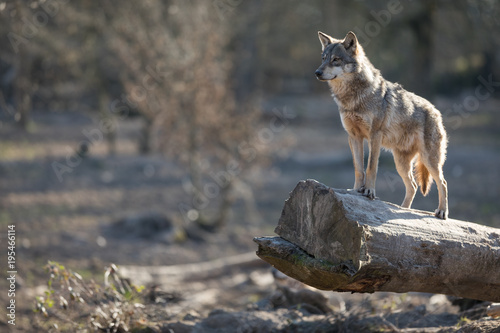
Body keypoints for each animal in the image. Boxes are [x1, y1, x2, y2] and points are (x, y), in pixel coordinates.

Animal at [314, 30, 448, 218]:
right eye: (323, 58)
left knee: (442, 183)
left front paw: (369, 191)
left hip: (429, 160)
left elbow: (371, 167)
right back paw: (402, 210)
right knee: (413, 186)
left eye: (336, 60)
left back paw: (442, 212)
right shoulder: (353, 136)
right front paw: (355, 191)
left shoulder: (374, 136)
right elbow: (358, 168)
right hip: (401, 163)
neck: (353, 98)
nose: (317, 72)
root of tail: (436, 110)